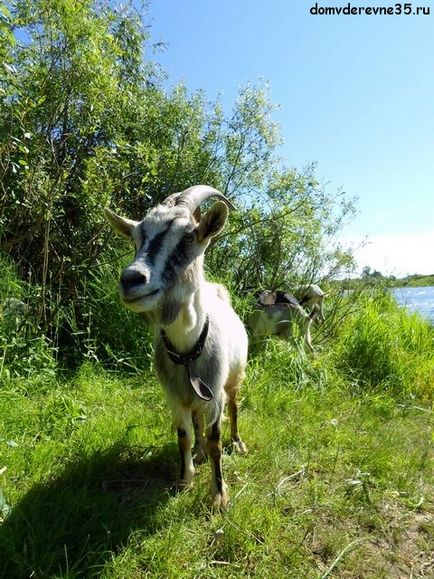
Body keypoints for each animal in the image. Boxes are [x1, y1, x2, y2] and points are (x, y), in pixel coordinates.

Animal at [105, 185, 248, 508]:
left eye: (187, 237)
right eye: (136, 238)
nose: (131, 279)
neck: (187, 351)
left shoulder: (214, 393)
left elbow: (216, 439)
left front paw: (218, 495)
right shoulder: (174, 395)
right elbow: (183, 435)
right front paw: (185, 479)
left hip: (235, 376)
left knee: (235, 406)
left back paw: (238, 442)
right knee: (196, 421)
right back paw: (199, 451)